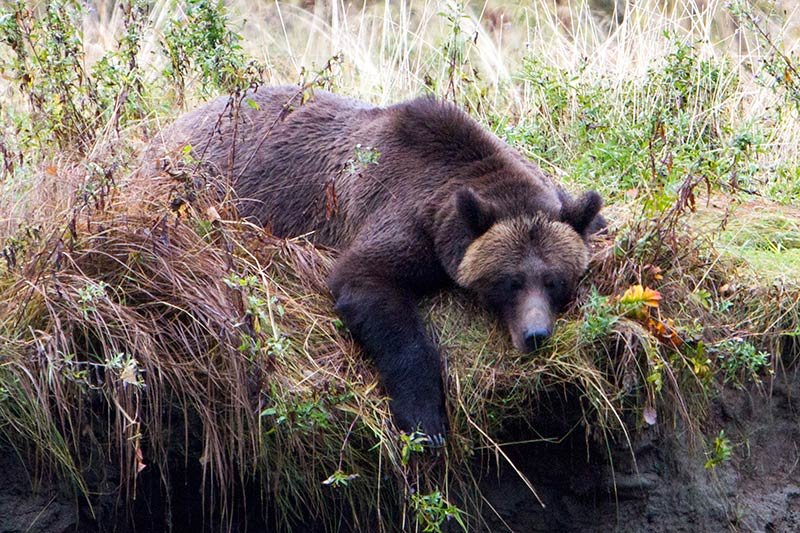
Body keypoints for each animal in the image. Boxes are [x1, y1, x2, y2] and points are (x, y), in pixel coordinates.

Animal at [156, 86, 604, 444]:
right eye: (510, 282)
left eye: (554, 281)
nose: (535, 334)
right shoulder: (399, 213)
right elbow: (370, 285)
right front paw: (426, 422)